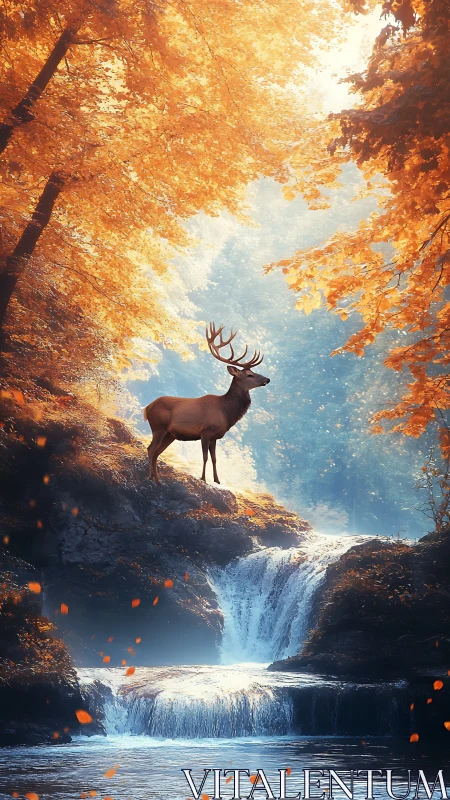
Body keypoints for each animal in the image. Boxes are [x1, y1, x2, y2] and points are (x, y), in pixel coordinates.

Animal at [143, 323, 270, 485]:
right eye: (250, 375)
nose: (267, 379)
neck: (225, 411)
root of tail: (147, 407)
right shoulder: (206, 431)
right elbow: (205, 457)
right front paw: (203, 478)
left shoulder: (215, 436)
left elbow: (215, 459)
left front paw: (217, 480)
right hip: (158, 427)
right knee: (151, 449)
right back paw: (150, 477)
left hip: (170, 435)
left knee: (157, 452)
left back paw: (158, 480)